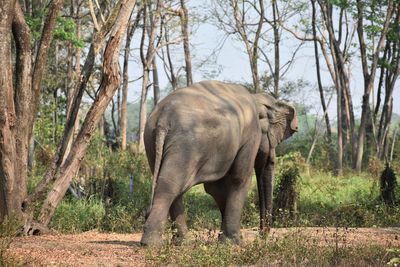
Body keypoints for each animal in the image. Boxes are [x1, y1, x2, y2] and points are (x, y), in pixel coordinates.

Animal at [141, 80, 296, 246]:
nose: (262, 235)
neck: (256, 98)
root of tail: (163, 118)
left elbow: (216, 188)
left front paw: (228, 239)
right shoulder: (250, 135)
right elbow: (239, 178)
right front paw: (234, 242)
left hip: (151, 141)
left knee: (170, 185)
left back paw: (183, 242)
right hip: (186, 145)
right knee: (170, 185)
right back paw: (152, 243)